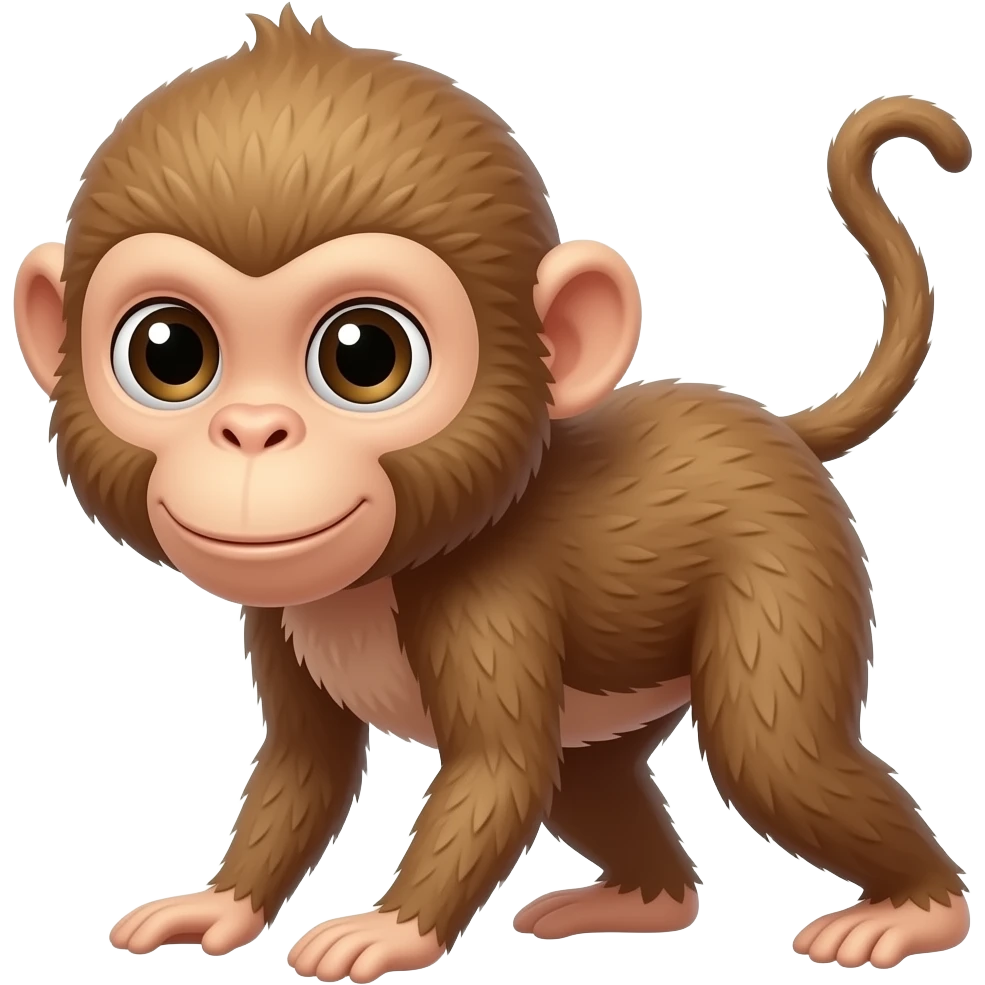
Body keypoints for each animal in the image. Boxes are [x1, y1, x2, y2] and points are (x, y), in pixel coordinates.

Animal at [11, 8, 973, 982]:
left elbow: (496, 770)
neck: (384, 575)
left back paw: (918, 908)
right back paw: (639, 901)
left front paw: (390, 929)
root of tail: (774, 424)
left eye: (365, 354)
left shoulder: (492, 599)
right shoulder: (280, 616)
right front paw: (218, 904)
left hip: (785, 565)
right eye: (169, 352)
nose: (251, 429)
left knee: (773, 753)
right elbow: (303, 766)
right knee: (589, 778)